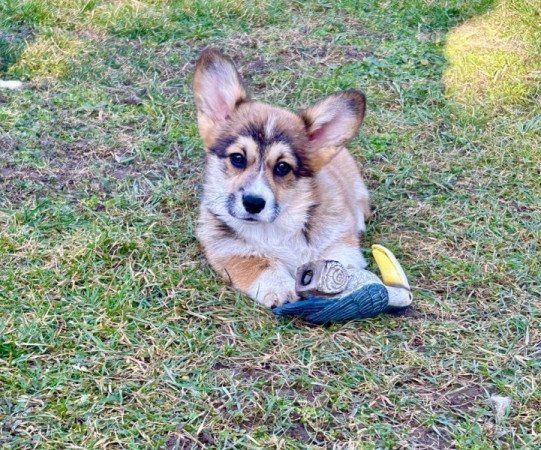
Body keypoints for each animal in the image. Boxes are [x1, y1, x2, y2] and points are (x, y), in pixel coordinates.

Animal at [192, 50, 370, 310]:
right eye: (237, 158)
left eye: (282, 167)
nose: (253, 203)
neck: (274, 227)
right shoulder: (227, 248)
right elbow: (260, 264)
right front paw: (281, 289)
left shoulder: (339, 241)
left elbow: (336, 261)